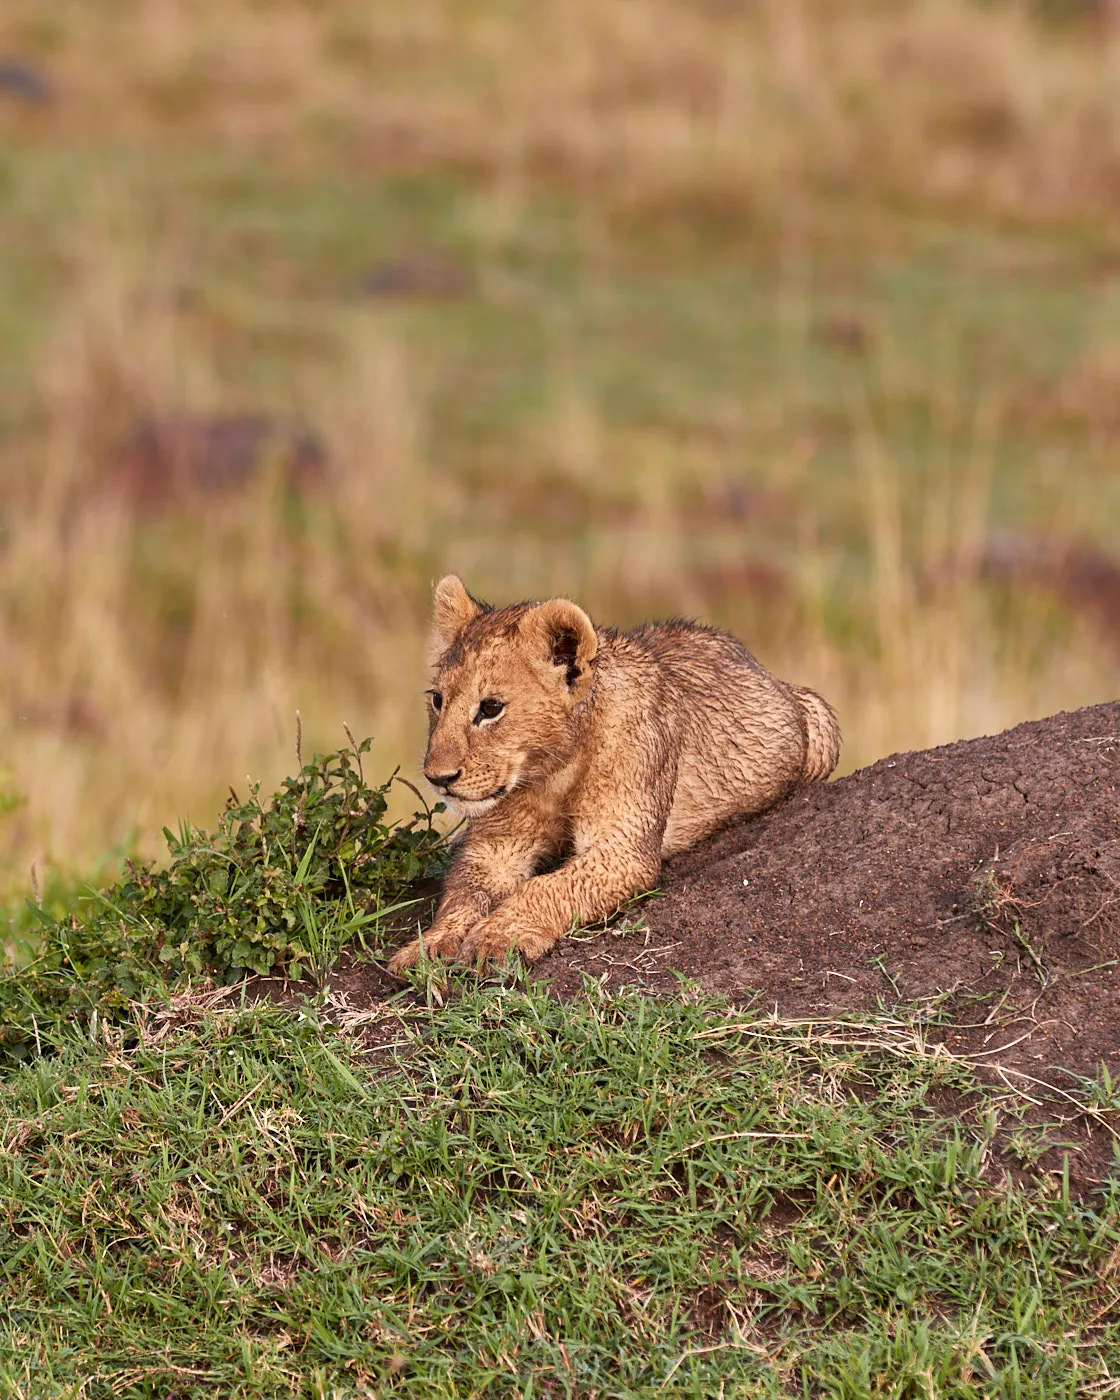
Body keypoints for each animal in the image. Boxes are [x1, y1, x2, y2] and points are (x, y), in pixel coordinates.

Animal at [389, 575, 840, 971]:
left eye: (491, 707)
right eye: (437, 699)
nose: (437, 777)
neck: (553, 771)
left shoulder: (624, 849)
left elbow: (547, 886)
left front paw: (497, 937)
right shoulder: (495, 846)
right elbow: (463, 895)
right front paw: (428, 947)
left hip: (820, 724)